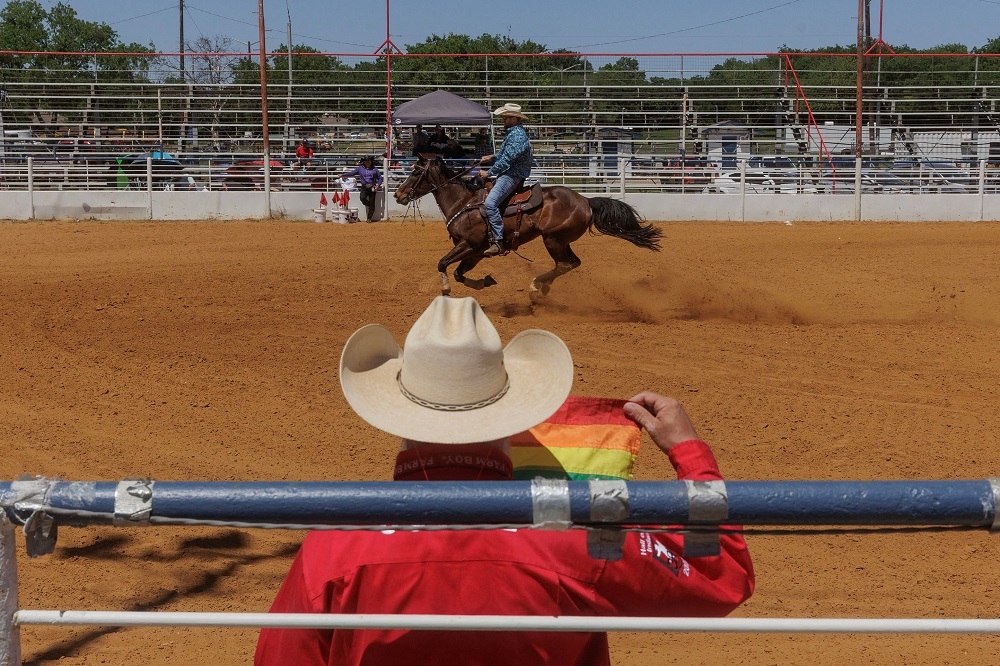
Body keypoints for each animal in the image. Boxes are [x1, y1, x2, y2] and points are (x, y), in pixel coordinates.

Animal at [392, 154, 664, 294]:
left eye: (415, 172)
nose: (397, 195)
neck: (464, 201)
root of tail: (586, 200)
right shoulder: (476, 252)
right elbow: (459, 273)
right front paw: (483, 282)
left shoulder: (469, 245)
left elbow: (442, 263)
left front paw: (446, 289)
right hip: (559, 240)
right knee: (570, 263)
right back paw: (542, 288)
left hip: (553, 239)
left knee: (565, 264)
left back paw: (536, 285)